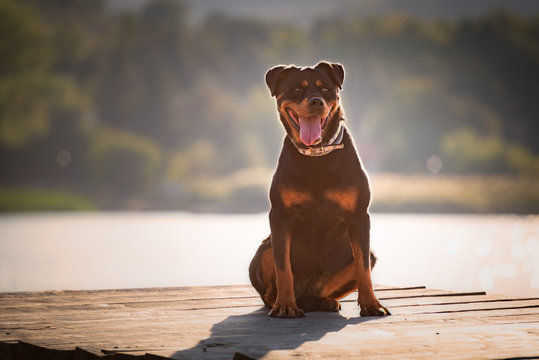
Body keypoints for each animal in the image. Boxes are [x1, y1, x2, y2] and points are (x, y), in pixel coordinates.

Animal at [249, 61, 388, 318]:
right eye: (296, 88)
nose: (316, 101)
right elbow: (283, 266)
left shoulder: (359, 216)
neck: (316, 155)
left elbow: (363, 267)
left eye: (325, 89)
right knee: (271, 287)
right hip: (265, 247)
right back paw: (281, 302)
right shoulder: (280, 216)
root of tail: (306, 295)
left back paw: (324, 301)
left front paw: (372, 304)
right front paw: (285, 305)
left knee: (328, 285)